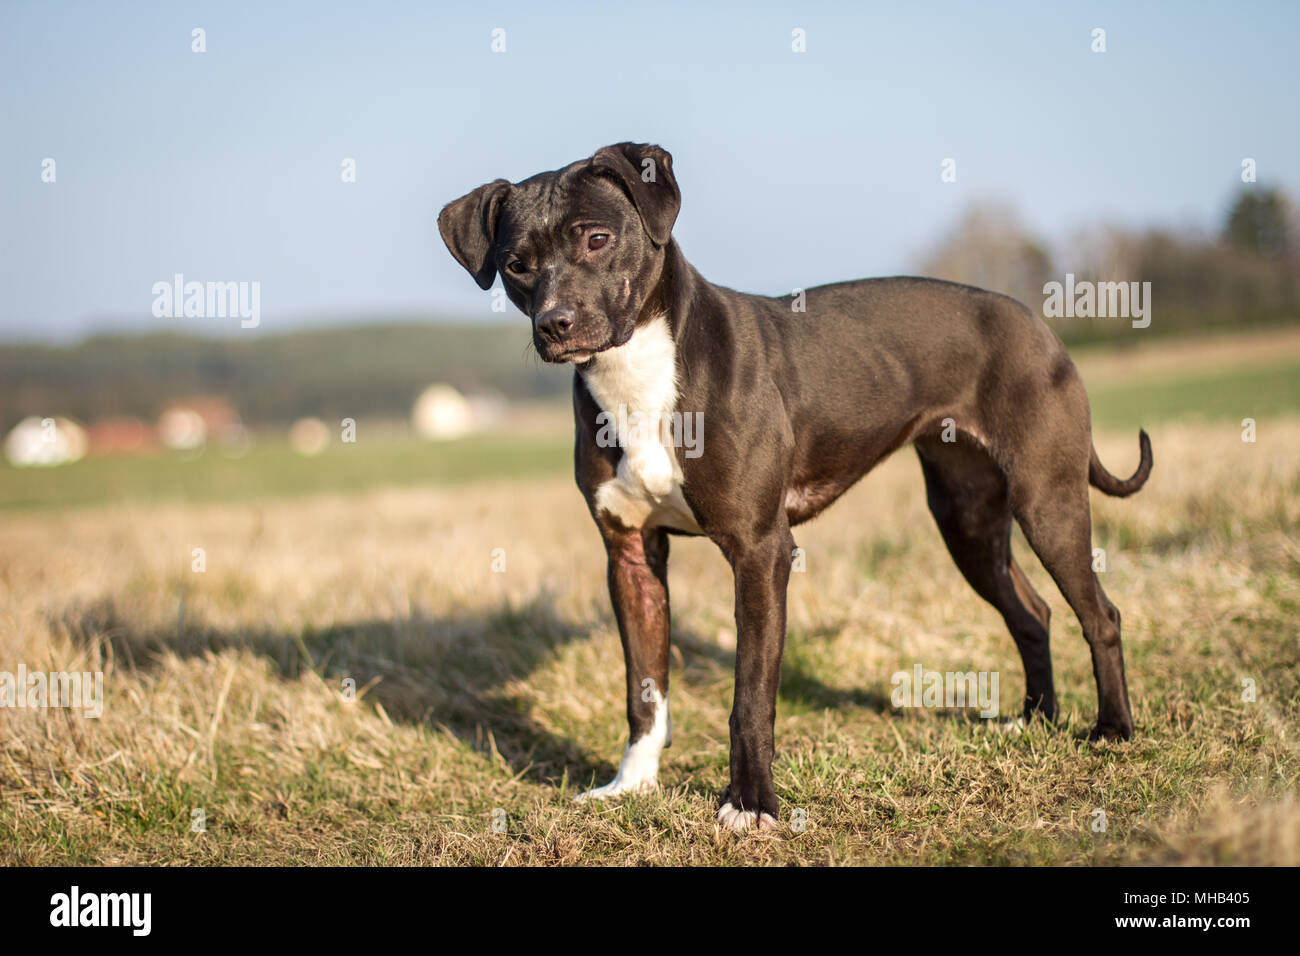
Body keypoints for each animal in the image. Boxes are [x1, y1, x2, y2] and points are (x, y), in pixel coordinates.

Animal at [441, 141, 1154, 832]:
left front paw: (750, 803)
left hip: (1046, 501)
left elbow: (750, 697)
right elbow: (644, 689)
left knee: (1101, 614)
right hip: (969, 523)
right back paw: (1035, 720)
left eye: (596, 238)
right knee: (1032, 613)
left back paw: (1112, 730)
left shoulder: (760, 551)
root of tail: (1037, 322)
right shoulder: (632, 557)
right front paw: (631, 786)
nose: (555, 324)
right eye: (517, 264)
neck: (640, 372)